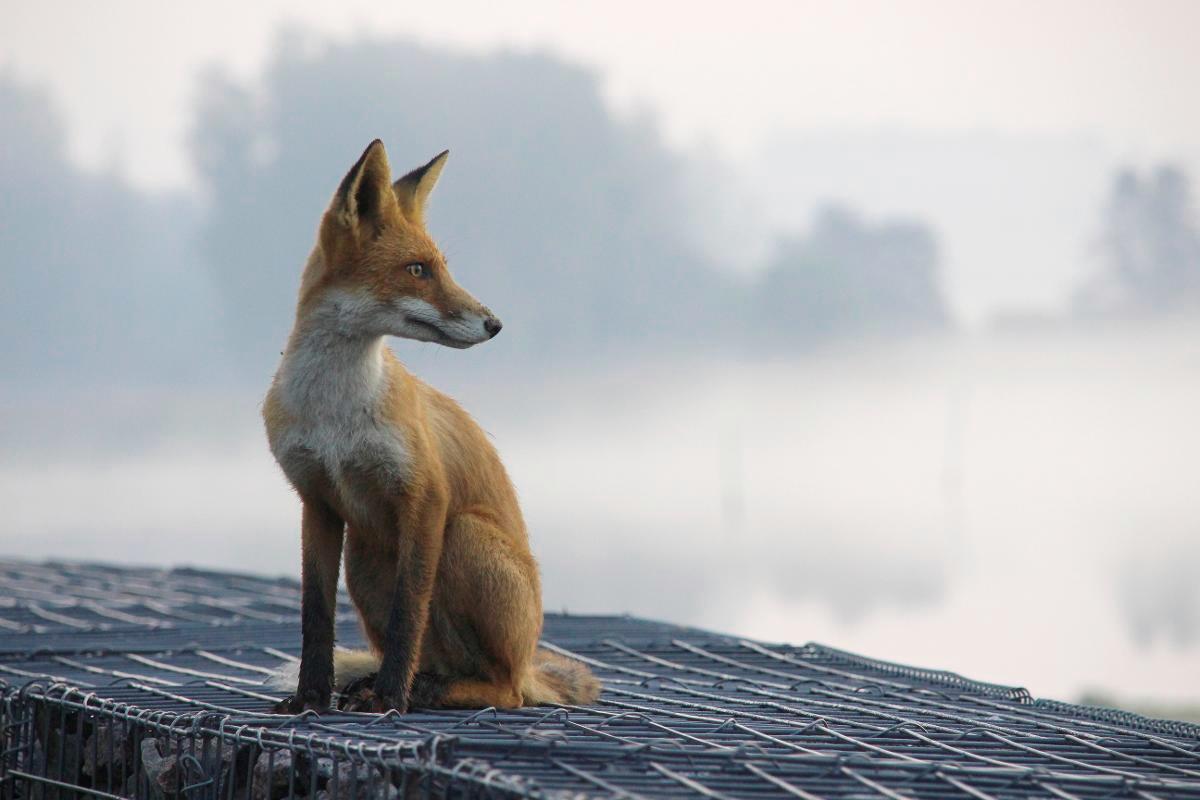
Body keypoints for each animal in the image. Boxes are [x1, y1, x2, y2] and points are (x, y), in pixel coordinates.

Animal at [262, 137, 600, 714]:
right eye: (417, 269)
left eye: (441, 267)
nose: (495, 323)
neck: (335, 416)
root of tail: (529, 660)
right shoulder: (317, 500)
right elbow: (315, 617)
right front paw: (311, 698)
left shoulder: (426, 497)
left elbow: (408, 616)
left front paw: (390, 698)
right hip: (365, 558)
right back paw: (408, 684)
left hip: (460, 536)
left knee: (504, 690)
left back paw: (427, 690)